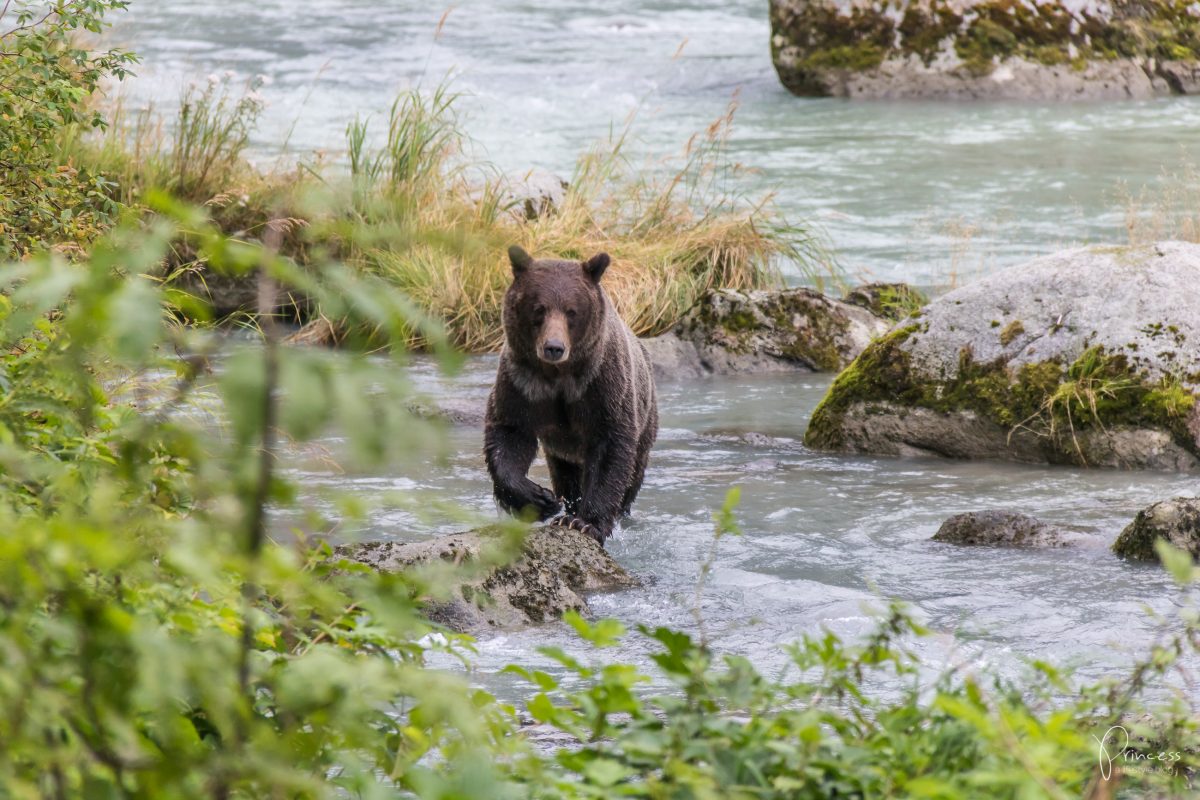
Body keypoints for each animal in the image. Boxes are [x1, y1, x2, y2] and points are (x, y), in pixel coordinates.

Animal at [484, 245, 657, 544]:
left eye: (571, 311)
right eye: (539, 308)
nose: (554, 347)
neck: (559, 376)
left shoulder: (601, 387)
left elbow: (610, 448)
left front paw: (586, 523)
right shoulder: (523, 384)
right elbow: (509, 433)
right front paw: (541, 499)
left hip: (645, 422)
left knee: (631, 474)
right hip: (560, 449)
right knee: (566, 473)